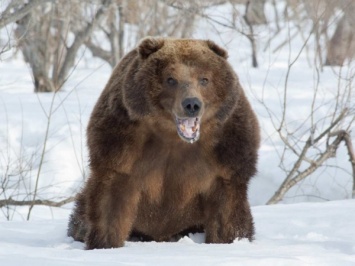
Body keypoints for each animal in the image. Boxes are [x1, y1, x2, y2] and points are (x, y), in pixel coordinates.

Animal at [67, 37, 262, 249]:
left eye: (204, 79)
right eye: (171, 79)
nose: (192, 104)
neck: (171, 136)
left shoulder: (226, 150)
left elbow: (227, 210)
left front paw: (229, 240)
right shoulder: (121, 141)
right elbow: (112, 200)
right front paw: (105, 243)